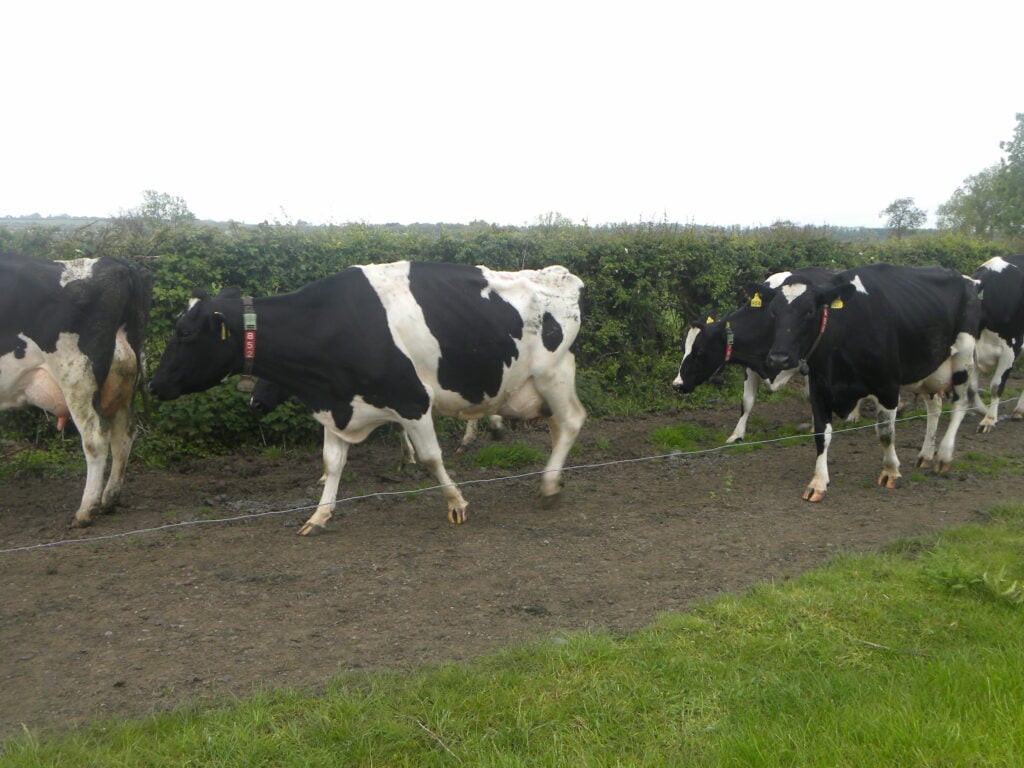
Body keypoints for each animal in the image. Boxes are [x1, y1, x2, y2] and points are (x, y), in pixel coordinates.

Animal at [0, 254, 151, 526]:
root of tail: (115, 263)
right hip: (124, 379)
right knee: (124, 433)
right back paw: (109, 499)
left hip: (77, 376)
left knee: (96, 437)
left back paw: (85, 511)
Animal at [149, 261, 586, 535]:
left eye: (185, 333)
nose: (152, 386)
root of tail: (560, 276)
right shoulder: (337, 404)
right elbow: (332, 463)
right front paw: (318, 516)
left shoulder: (412, 400)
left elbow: (431, 458)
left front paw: (456, 503)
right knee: (557, 424)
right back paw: (553, 476)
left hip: (553, 372)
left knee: (571, 421)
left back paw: (549, 485)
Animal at [672, 267, 836, 443]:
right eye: (683, 348)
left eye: (700, 351)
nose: (677, 385)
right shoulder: (751, 362)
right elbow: (747, 401)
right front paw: (737, 435)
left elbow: (811, 395)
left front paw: (815, 426)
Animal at [763, 263, 980, 502]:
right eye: (773, 312)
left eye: (809, 311)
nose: (778, 358)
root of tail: (966, 278)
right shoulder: (819, 386)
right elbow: (821, 434)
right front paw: (818, 482)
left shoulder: (888, 385)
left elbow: (885, 431)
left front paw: (890, 471)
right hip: (929, 367)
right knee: (935, 407)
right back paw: (925, 454)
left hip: (963, 358)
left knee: (960, 404)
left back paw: (943, 456)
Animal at [970, 255, 1024, 431]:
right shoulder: (974, 350)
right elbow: (972, 388)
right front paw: (983, 410)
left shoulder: (1011, 348)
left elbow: (995, 386)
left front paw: (990, 419)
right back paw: (1019, 411)